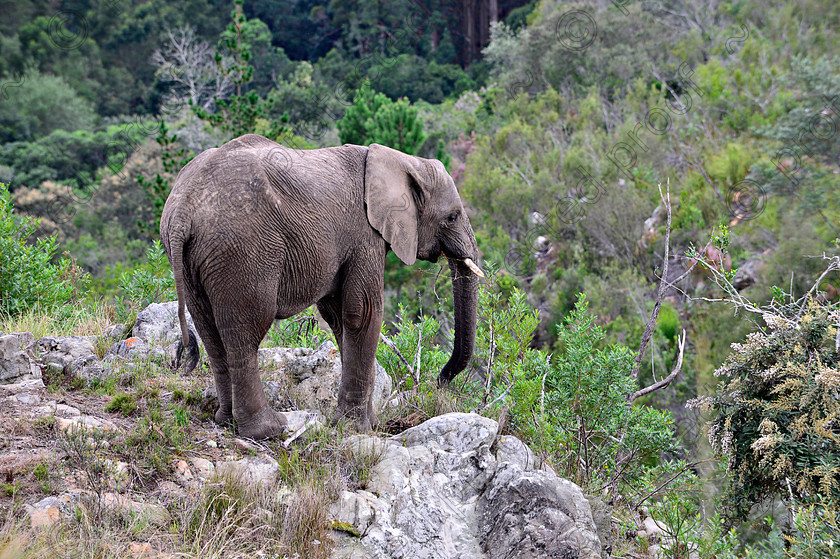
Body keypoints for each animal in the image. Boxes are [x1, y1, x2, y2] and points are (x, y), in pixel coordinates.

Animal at [161, 133, 482, 440]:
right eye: (452, 216)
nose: (440, 381)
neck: (403, 160)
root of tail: (182, 211)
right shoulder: (364, 235)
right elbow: (363, 313)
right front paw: (356, 428)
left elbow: (339, 317)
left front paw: (370, 424)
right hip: (243, 251)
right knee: (246, 330)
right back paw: (268, 430)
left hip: (196, 261)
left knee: (210, 330)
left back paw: (226, 420)